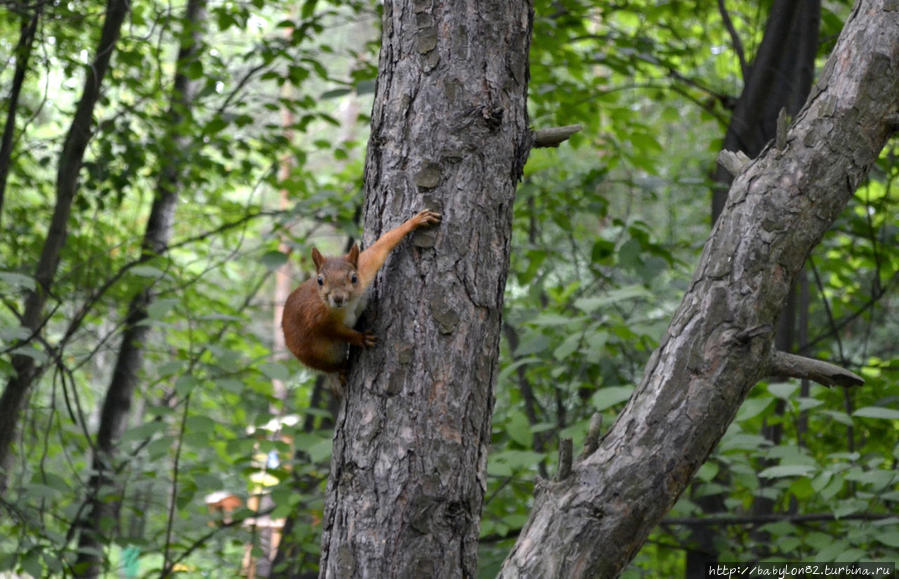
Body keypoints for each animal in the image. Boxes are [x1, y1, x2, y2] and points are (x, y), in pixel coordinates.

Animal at [280, 211, 438, 382]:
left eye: (354, 278)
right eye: (319, 281)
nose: (337, 298)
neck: (349, 304)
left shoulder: (365, 268)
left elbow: (381, 247)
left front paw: (415, 221)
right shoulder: (318, 317)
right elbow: (336, 331)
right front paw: (360, 338)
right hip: (319, 354)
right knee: (330, 365)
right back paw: (341, 370)